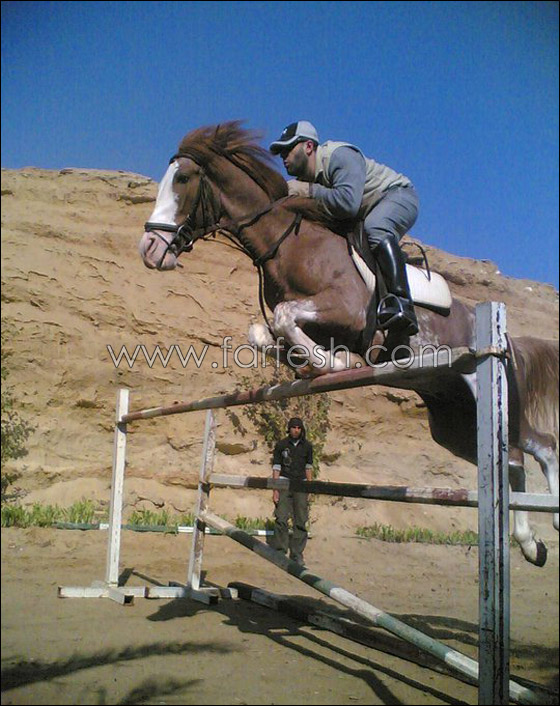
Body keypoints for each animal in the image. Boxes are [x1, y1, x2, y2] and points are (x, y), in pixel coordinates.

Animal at [138, 119, 556, 560]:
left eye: (183, 179)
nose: (148, 249)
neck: (289, 242)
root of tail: (502, 334)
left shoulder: (348, 310)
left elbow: (288, 318)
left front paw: (331, 362)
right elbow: (264, 333)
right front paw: (312, 362)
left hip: (488, 395)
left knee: (525, 452)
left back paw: (540, 531)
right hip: (455, 424)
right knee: (523, 454)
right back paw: (535, 542)